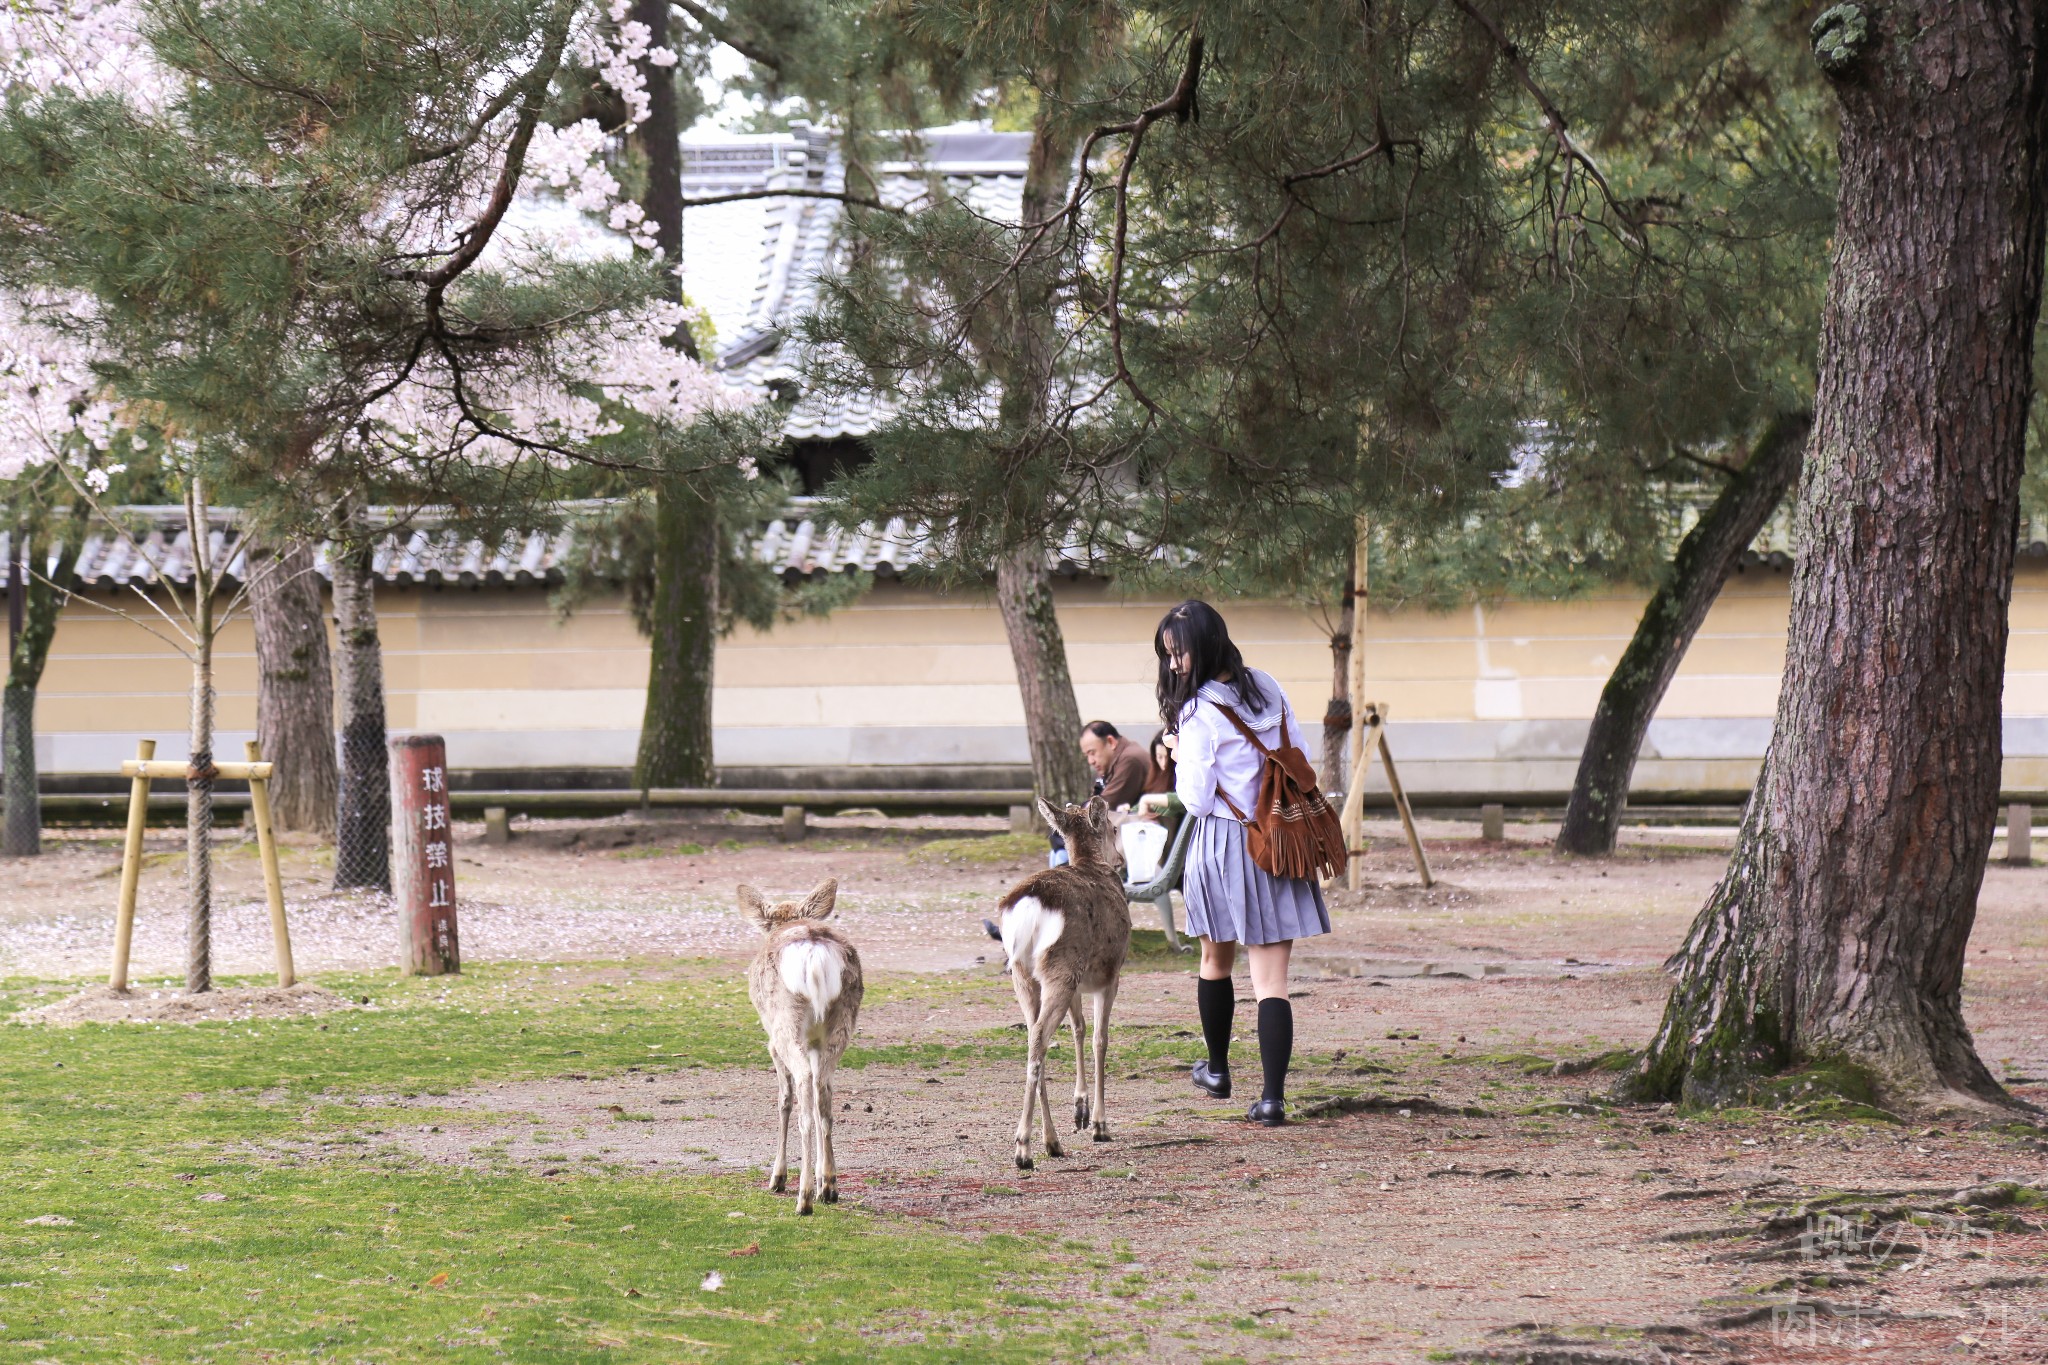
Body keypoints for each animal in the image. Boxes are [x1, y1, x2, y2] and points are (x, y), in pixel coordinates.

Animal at [741, 879, 860, 1211]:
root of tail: (814, 954)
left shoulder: (771, 1043)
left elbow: (784, 1100)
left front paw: (777, 1179)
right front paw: (822, 1182)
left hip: (785, 1026)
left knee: (805, 1087)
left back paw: (803, 1199)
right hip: (842, 1022)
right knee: (823, 1095)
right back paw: (828, 1187)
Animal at [995, 794, 1138, 1170]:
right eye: (1114, 828)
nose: (1122, 861)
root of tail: (1029, 907)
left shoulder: (1080, 982)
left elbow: (1079, 1030)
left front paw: (1080, 1110)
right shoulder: (1111, 974)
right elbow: (1100, 1039)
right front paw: (1100, 1124)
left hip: (1027, 974)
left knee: (1035, 1036)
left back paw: (1053, 1142)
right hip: (1062, 964)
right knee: (1038, 1039)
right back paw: (1024, 1149)